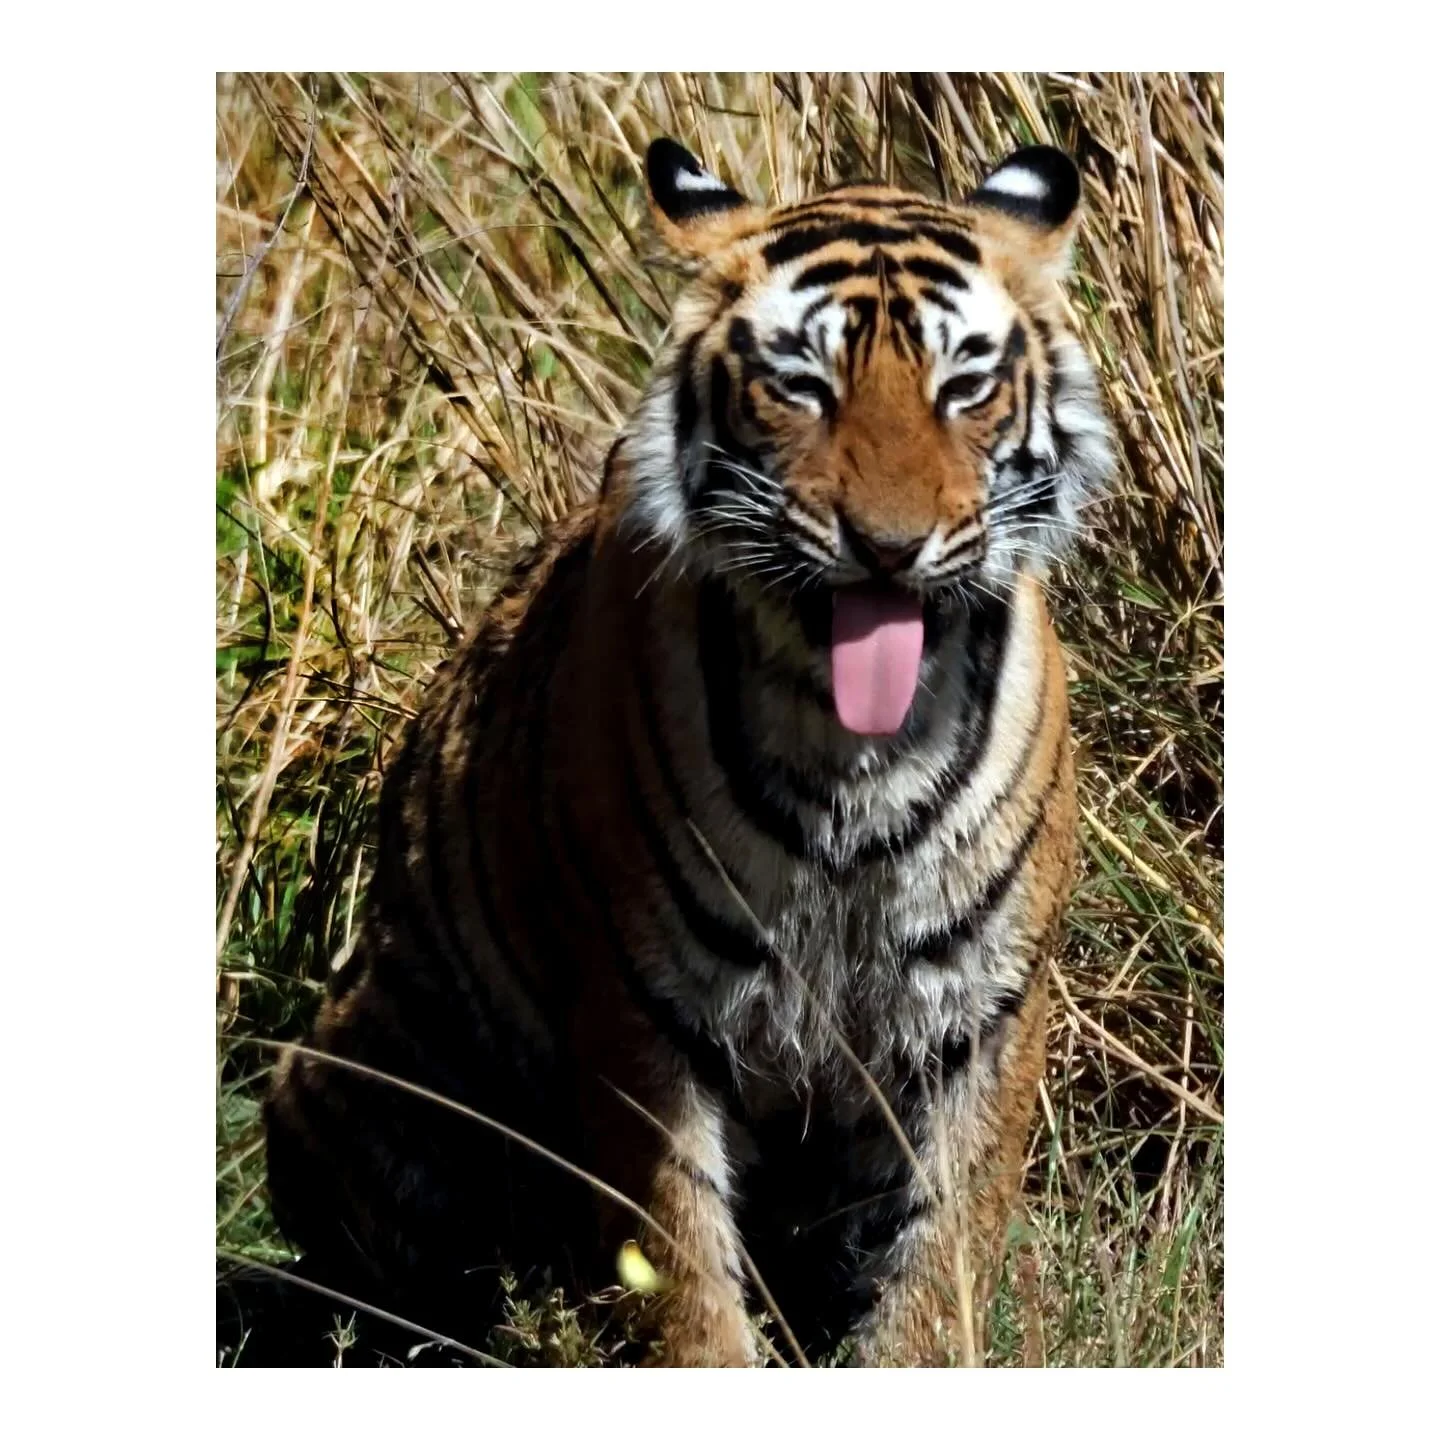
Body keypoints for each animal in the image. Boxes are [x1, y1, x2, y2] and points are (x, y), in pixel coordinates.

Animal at [262, 136, 1113, 1367]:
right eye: (803, 384)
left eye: (964, 386)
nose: (889, 548)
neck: (855, 750)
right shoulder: (644, 1009)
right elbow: (684, 1276)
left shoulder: (979, 1010)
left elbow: (938, 1261)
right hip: (360, 1073)